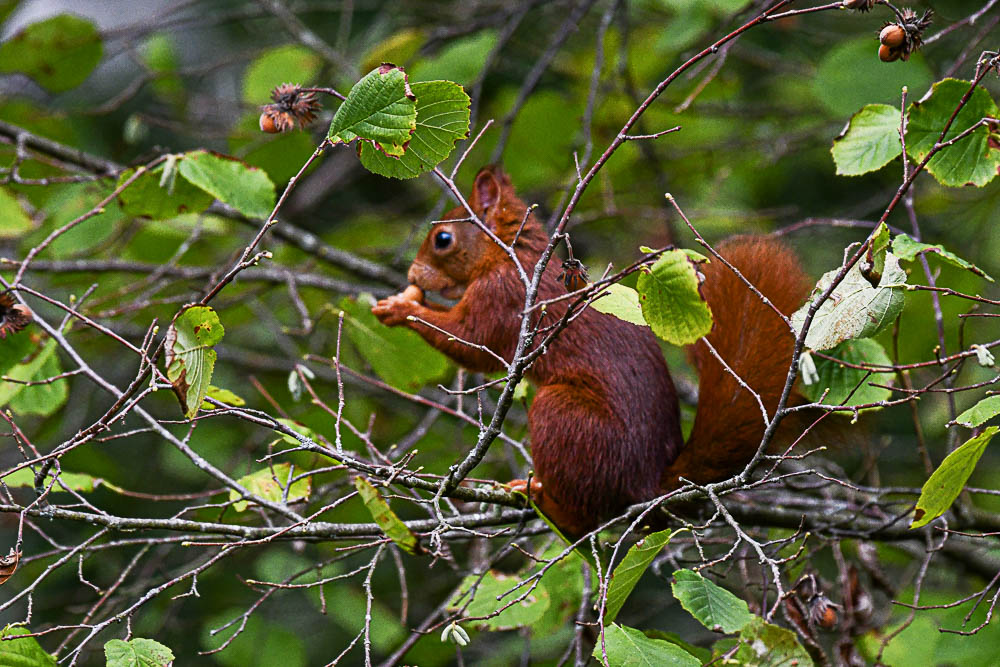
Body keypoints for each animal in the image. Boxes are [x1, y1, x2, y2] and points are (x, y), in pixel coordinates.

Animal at [372, 167, 808, 536]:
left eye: (443, 239)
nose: (412, 275)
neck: (510, 256)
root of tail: (648, 485)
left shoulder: (504, 296)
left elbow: (468, 340)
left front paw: (400, 308)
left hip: (565, 416)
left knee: (581, 516)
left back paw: (540, 496)